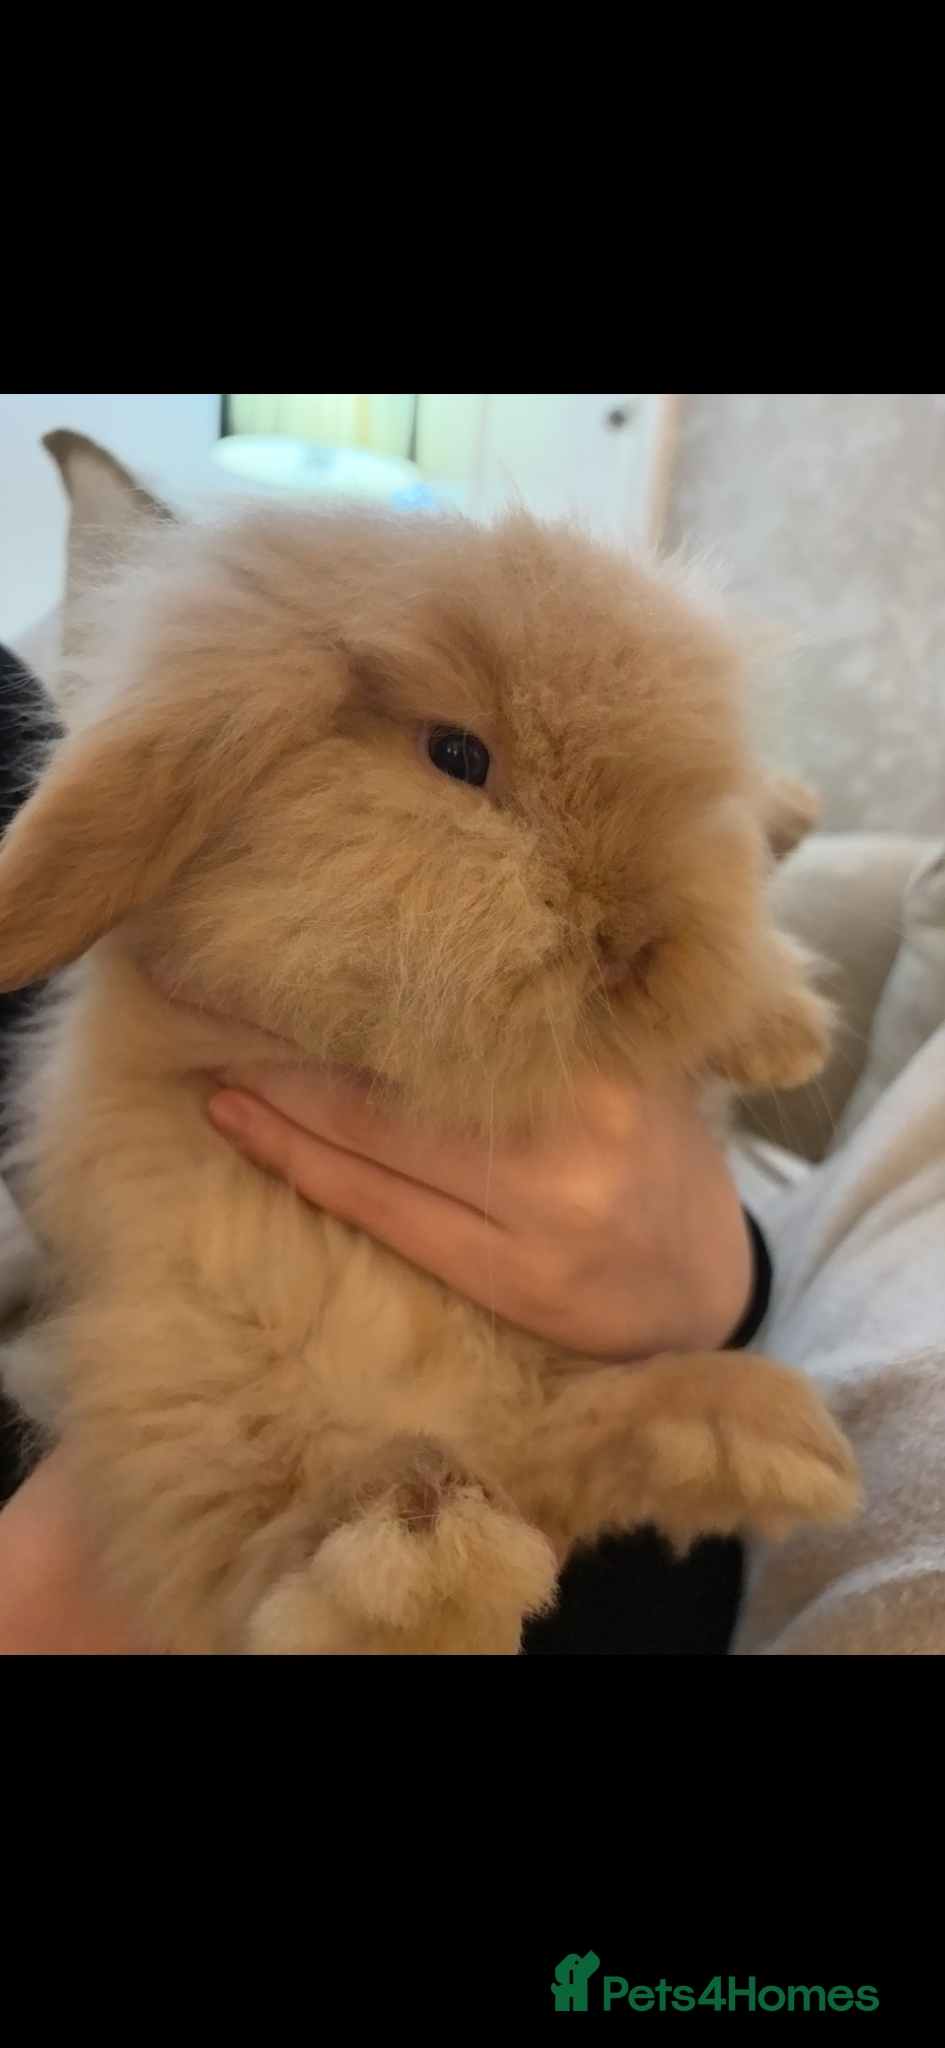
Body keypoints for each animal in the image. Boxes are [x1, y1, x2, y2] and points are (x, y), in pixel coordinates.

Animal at [0, 431, 859, 1655]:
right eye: (458, 754)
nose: (634, 939)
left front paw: (781, 1031)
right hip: (189, 1367)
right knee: (234, 1561)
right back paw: (407, 1542)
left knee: (560, 1450)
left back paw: (751, 1438)